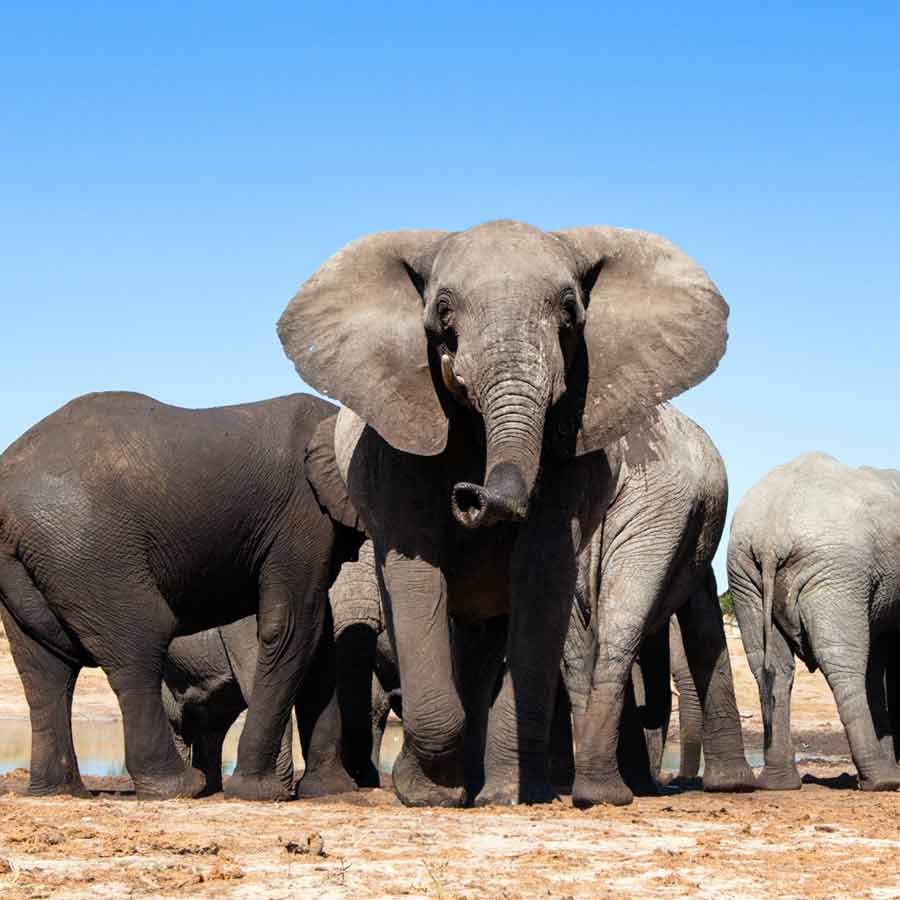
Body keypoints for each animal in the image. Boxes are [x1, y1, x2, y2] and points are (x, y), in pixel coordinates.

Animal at [0, 391, 359, 801]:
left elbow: (319, 638)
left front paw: (331, 790)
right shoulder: (302, 514)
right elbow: (292, 627)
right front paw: (260, 792)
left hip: (36, 560)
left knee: (43, 667)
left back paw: (60, 791)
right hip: (87, 546)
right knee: (139, 642)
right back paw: (181, 786)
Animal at [277, 219, 731, 807]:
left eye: (569, 310)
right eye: (443, 310)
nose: (470, 496)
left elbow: (540, 574)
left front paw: (505, 794)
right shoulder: (396, 441)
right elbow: (417, 573)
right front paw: (429, 794)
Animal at [728, 452, 900, 791]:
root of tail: (771, 536)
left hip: (744, 575)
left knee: (771, 667)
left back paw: (779, 783)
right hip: (836, 574)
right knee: (843, 662)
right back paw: (882, 781)